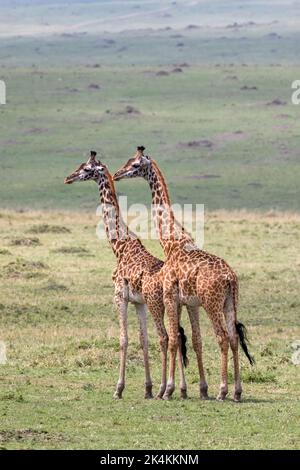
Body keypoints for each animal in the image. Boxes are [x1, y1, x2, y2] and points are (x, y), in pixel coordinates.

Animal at [64, 151, 189, 400]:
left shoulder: (119, 296)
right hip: (174, 306)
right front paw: (147, 388)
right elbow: (143, 339)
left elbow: (123, 339)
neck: (119, 247)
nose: (69, 177)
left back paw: (167, 389)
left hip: (158, 304)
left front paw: (119, 388)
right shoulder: (138, 302)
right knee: (177, 337)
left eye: (86, 169)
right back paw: (181, 389)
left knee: (166, 337)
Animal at [113, 146, 254, 400]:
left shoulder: (170, 296)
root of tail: (230, 278)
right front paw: (185, 389)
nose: (118, 173)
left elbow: (172, 340)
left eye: (136, 165)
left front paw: (168, 390)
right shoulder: (188, 302)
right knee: (234, 338)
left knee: (222, 337)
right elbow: (188, 339)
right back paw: (237, 392)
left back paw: (222, 391)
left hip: (211, 303)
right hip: (230, 302)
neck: (171, 243)